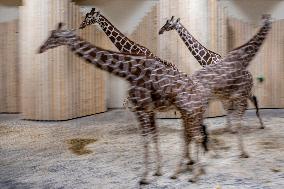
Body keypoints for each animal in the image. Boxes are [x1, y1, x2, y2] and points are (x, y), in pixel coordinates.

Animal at [38, 22, 209, 184]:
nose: (40, 48)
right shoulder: (149, 110)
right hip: (188, 112)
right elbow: (154, 136)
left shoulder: (140, 108)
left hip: (189, 110)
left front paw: (145, 177)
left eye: (55, 36)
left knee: (196, 135)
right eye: (50, 33)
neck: (129, 71)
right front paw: (158, 171)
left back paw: (193, 173)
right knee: (191, 135)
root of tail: (200, 90)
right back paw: (188, 166)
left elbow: (145, 140)